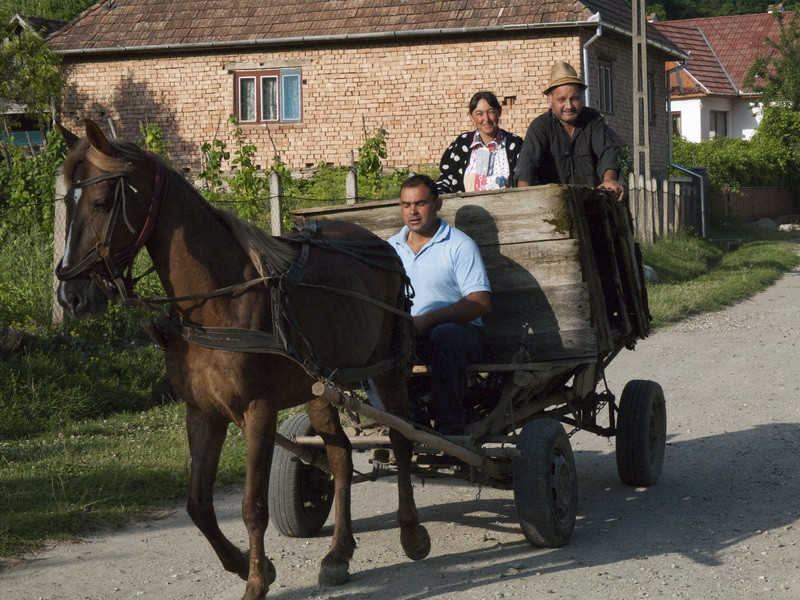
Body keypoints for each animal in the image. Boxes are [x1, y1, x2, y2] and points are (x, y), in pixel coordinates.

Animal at [54, 120, 432, 600]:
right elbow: (198, 505)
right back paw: (339, 552)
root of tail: (380, 243)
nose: (70, 295)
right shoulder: (202, 413)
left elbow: (252, 505)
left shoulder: (258, 411)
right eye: (67, 203)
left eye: (102, 203)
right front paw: (246, 565)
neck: (217, 302)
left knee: (401, 440)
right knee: (340, 456)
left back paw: (411, 532)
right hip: (321, 388)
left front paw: (255, 580)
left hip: (388, 370)